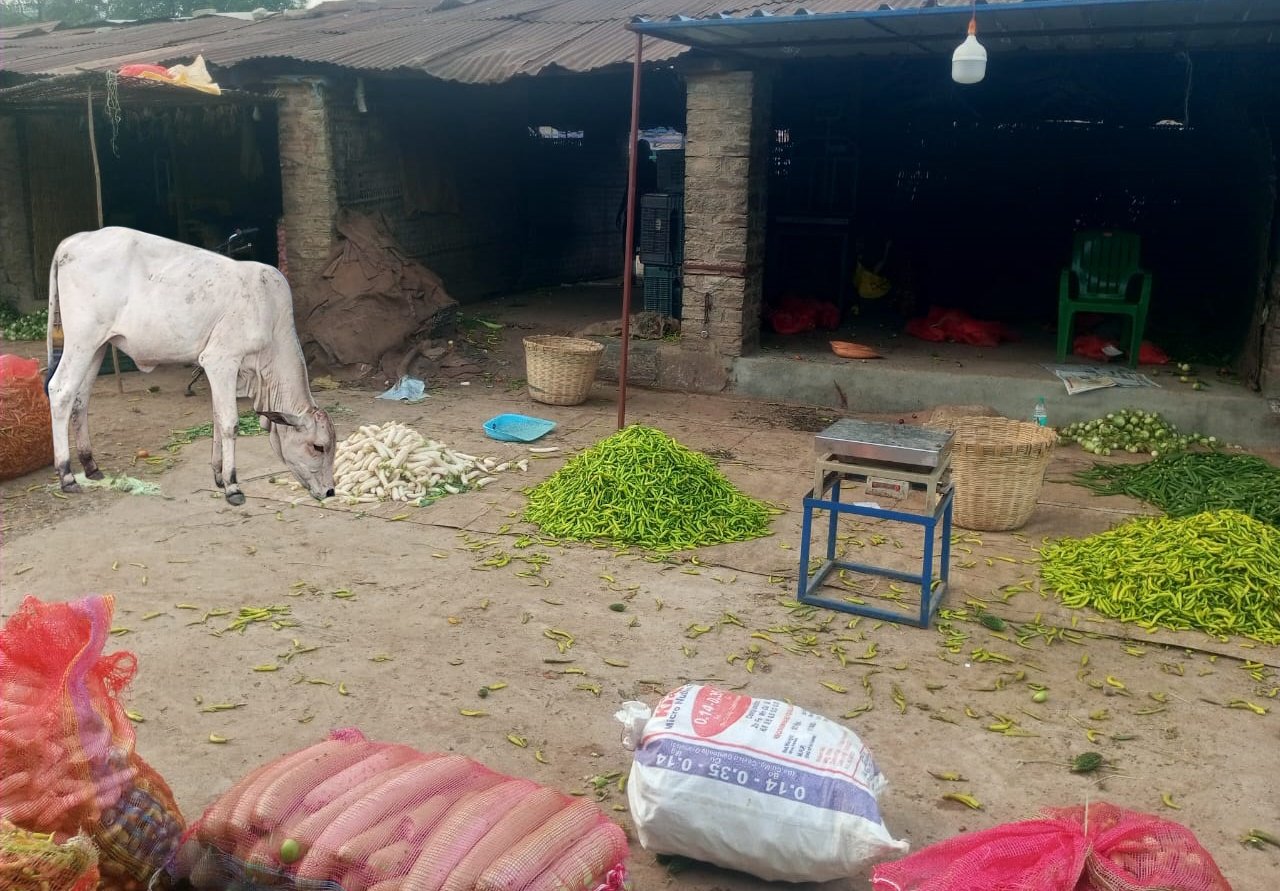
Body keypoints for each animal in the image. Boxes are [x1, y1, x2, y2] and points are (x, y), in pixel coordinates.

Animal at [46, 226, 335, 504]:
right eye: (318, 447)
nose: (330, 491)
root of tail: (75, 240)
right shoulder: (221, 360)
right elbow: (229, 423)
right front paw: (232, 485)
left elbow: (217, 418)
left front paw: (218, 474)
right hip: (82, 341)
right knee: (61, 391)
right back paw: (66, 475)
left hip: (97, 347)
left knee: (80, 400)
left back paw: (90, 465)